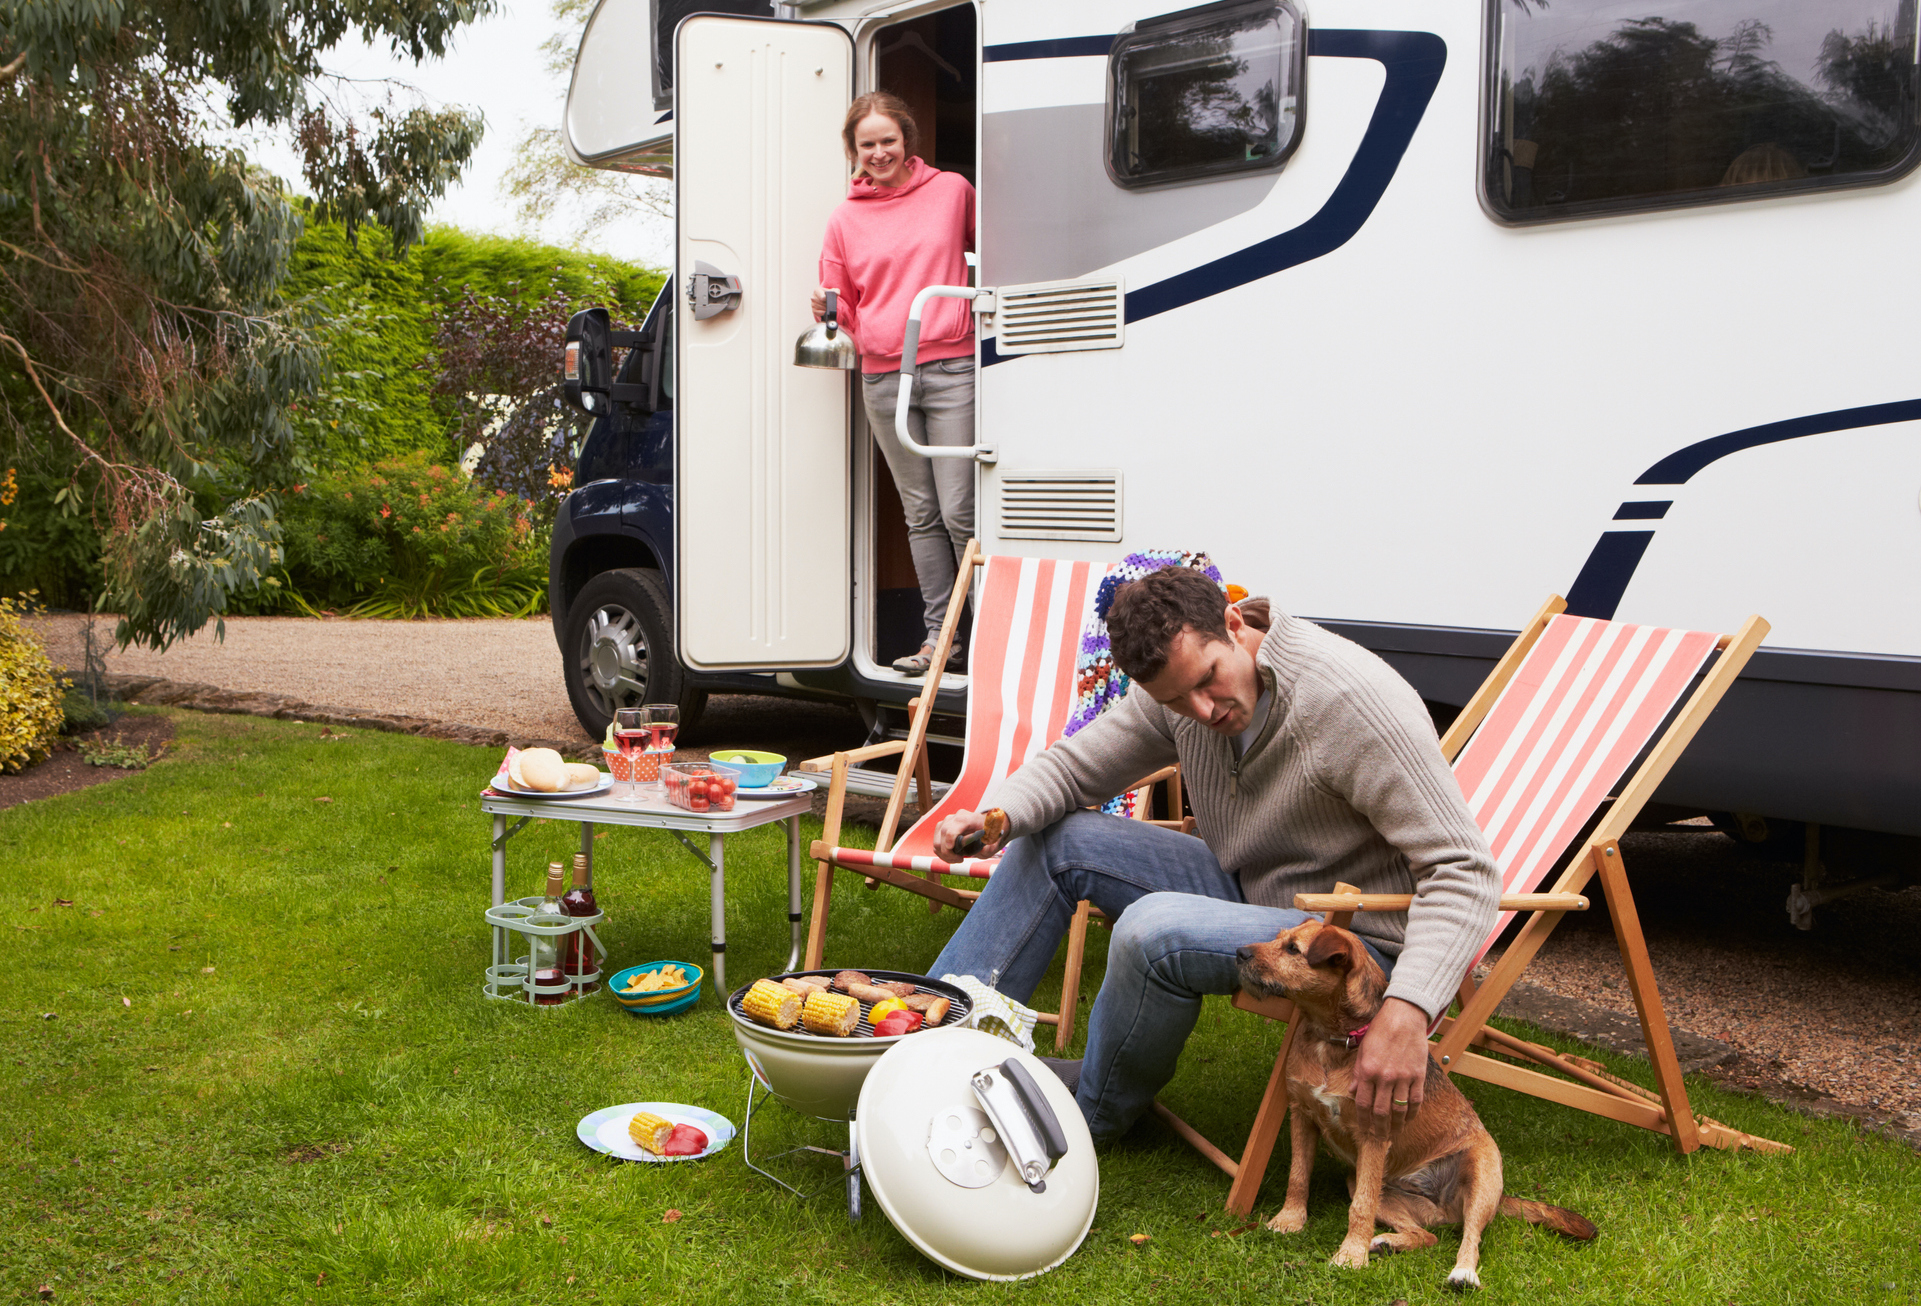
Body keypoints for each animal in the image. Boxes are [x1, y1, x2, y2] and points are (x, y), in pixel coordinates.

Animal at [1237, 918, 1598, 1282]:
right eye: (1279, 939)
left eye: (1293, 949)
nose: (1239, 952)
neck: (1335, 1041)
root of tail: (1445, 1204)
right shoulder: (1302, 1115)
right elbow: (1298, 1176)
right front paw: (1290, 1220)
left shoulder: (1373, 1135)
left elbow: (1361, 1207)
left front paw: (1350, 1255)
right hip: (1372, 1186)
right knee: (1428, 1235)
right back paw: (1388, 1243)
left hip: (1481, 1178)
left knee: (1470, 1236)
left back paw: (1462, 1273)